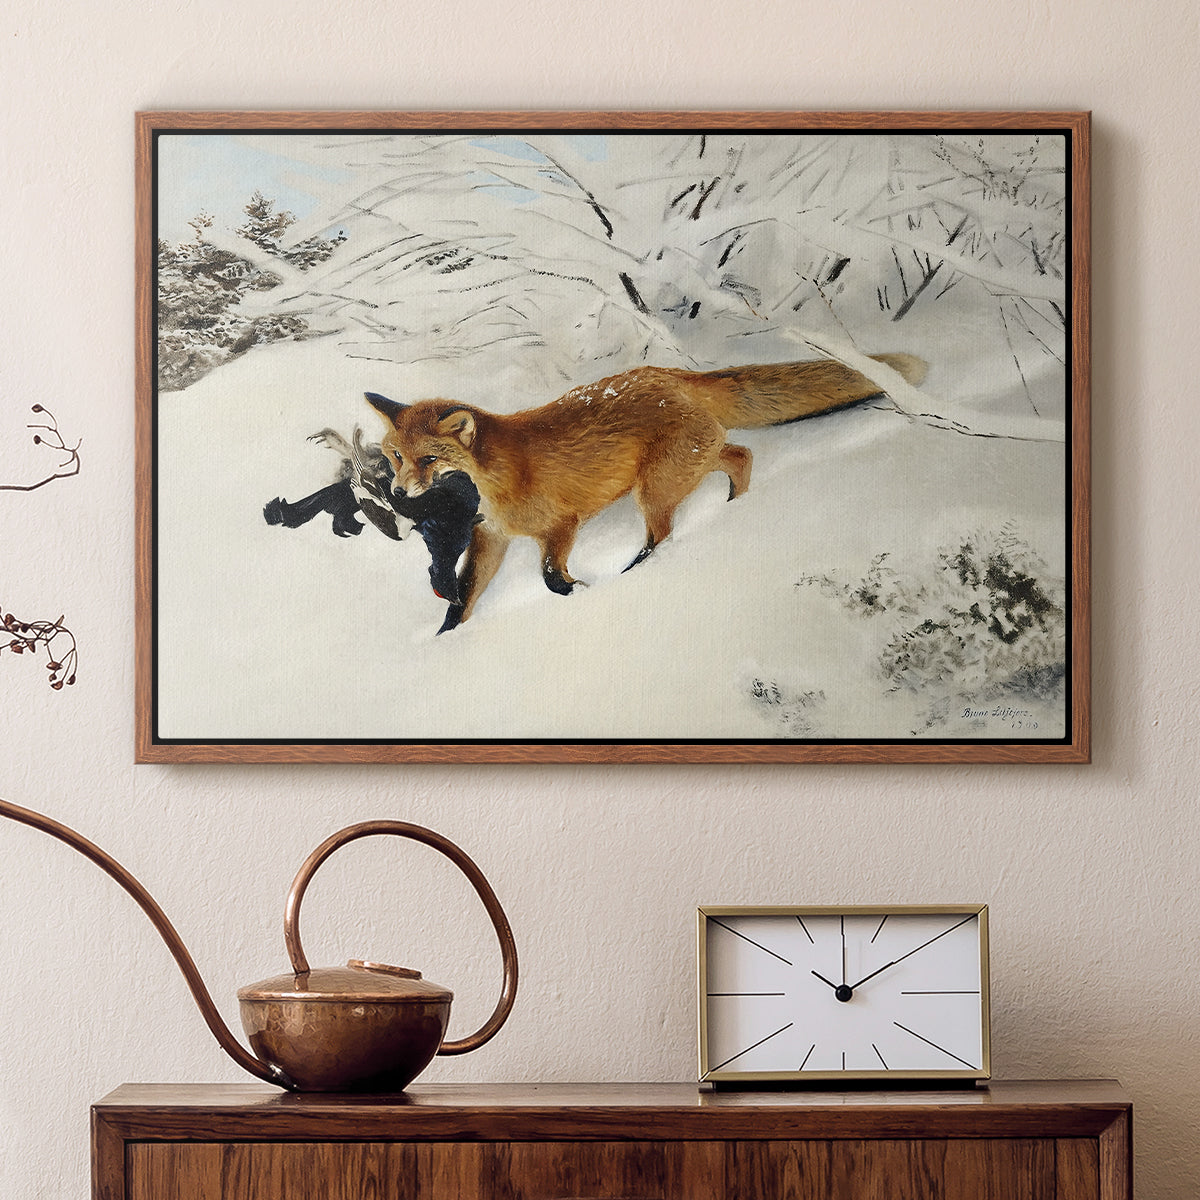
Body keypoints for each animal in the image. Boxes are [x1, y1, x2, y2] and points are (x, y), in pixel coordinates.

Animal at [366, 352, 927, 631]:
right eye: (395, 456)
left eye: (428, 460)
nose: (398, 491)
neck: (496, 478)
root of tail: (671, 374)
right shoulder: (491, 538)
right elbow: (463, 598)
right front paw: (445, 640)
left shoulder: (561, 525)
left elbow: (549, 577)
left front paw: (579, 591)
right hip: (687, 466)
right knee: (741, 455)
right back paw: (734, 508)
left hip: (654, 489)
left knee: (664, 534)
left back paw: (639, 570)